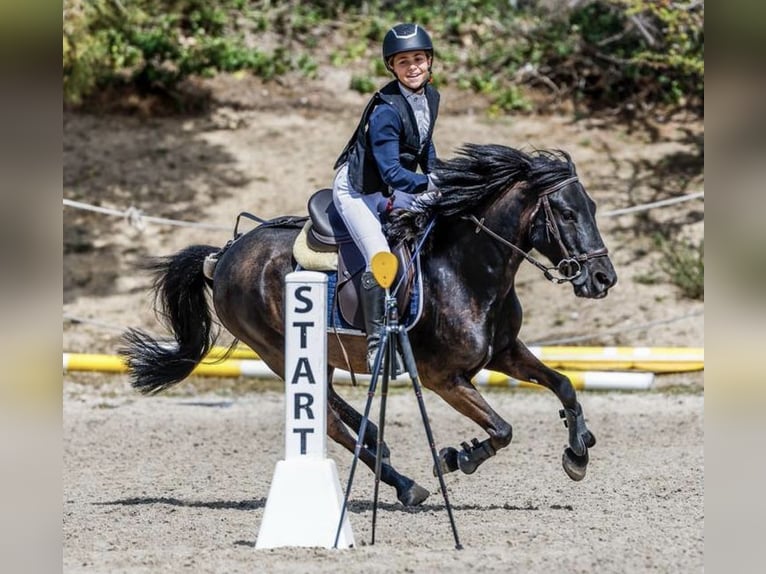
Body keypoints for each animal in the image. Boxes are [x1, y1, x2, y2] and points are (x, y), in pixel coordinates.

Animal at [124, 144, 616, 508]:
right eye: (566, 214)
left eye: (592, 207)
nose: (602, 278)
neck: (468, 270)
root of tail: (224, 253)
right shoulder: (443, 377)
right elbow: (501, 429)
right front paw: (457, 457)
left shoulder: (504, 352)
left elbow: (564, 385)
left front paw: (578, 451)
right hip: (278, 350)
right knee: (329, 422)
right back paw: (405, 484)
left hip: (314, 354)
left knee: (333, 407)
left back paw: (377, 439)